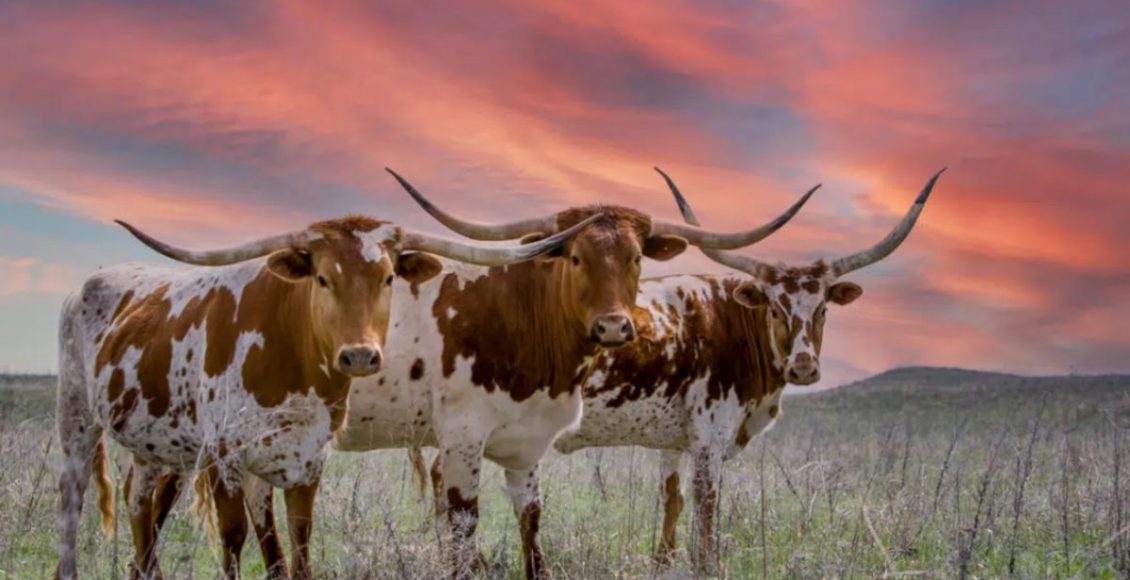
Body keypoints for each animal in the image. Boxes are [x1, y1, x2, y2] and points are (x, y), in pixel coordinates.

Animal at [55, 196, 592, 576]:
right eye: (322, 278)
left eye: (389, 277)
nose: (359, 356)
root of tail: (89, 283)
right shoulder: (224, 457)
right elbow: (233, 542)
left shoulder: (308, 462)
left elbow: (299, 543)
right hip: (77, 422)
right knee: (71, 506)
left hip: (154, 447)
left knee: (139, 506)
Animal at [220, 168, 818, 578]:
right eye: (574, 257)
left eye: (635, 259)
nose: (615, 327)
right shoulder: (461, 441)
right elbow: (463, 529)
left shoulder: (529, 443)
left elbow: (533, 525)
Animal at [546, 166, 944, 569]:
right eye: (775, 309)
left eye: (823, 310)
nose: (803, 368)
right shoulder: (710, 437)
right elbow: (705, 510)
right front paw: (706, 566)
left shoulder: (673, 441)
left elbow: (672, 502)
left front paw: (663, 563)